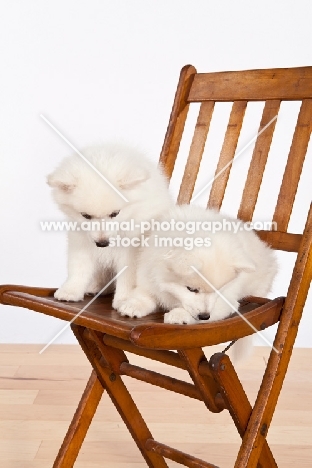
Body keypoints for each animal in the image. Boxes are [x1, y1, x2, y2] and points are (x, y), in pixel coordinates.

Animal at [47, 144, 172, 310]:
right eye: (85, 216)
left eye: (115, 213)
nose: (102, 243)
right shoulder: (81, 239)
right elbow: (78, 266)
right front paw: (71, 290)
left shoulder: (132, 251)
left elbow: (128, 277)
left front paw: (124, 299)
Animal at [119, 205, 278, 326]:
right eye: (192, 289)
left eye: (218, 290)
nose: (204, 316)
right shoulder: (148, 275)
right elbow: (144, 293)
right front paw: (134, 305)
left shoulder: (227, 300)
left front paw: (179, 315)